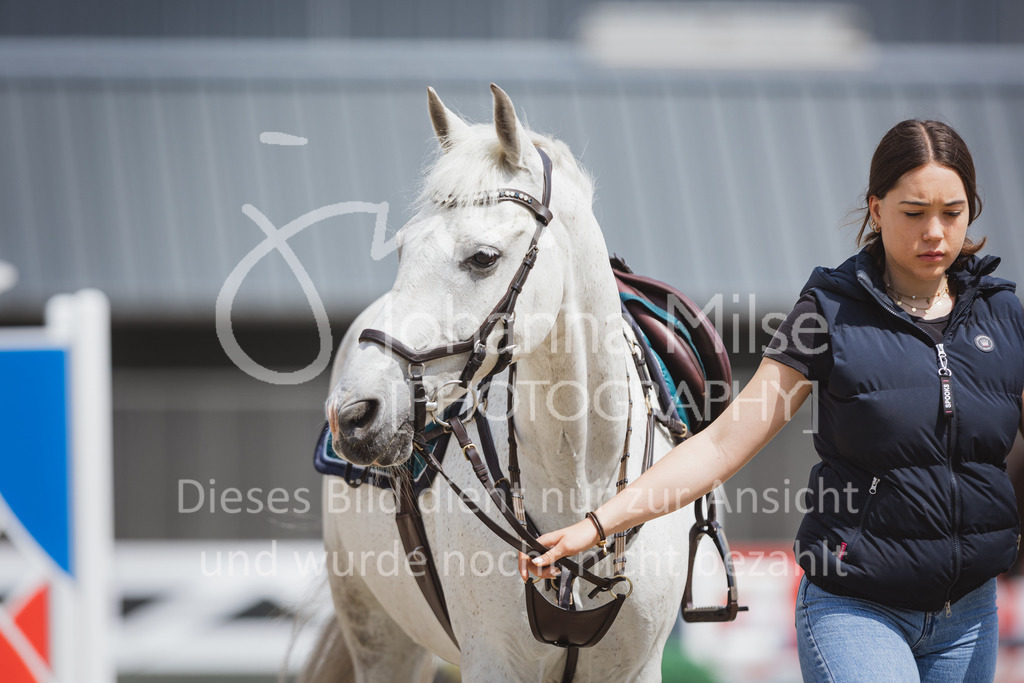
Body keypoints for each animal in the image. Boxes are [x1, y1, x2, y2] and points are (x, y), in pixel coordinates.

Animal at [306, 84, 700, 682]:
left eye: (483, 257)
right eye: (402, 249)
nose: (352, 415)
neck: (576, 476)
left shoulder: (634, 669)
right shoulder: (493, 662)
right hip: (378, 636)